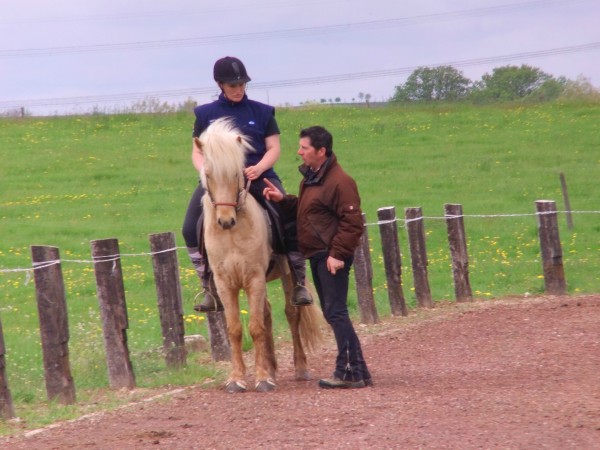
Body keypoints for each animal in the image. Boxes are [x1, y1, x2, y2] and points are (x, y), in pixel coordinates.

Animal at [195, 117, 324, 394]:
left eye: (237, 173)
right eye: (208, 175)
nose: (225, 221)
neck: (233, 234)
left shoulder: (254, 278)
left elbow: (255, 328)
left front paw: (262, 379)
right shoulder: (225, 283)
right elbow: (235, 329)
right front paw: (237, 379)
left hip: (286, 275)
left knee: (291, 313)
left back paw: (299, 368)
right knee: (267, 315)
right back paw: (272, 367)